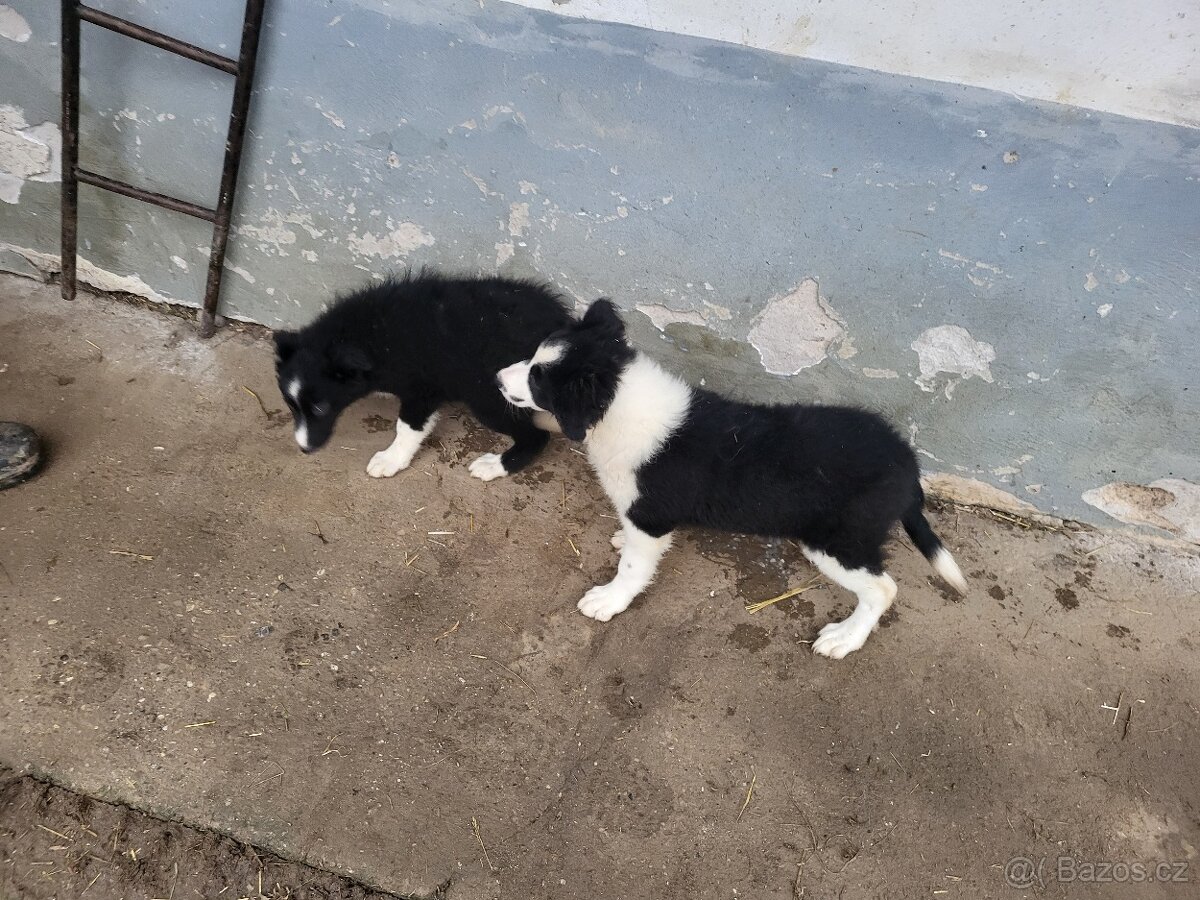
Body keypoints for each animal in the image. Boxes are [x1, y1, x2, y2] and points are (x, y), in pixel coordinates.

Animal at [274, 271, 571, 481]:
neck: (369, 337)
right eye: (291, 406)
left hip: (487, 397)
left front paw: (391, 460)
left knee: (536, 437)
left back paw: (494, 466)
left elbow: (407, 427)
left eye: (320, 408)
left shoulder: (422, 389)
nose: (304, 448)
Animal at [497, 299, 967, 659]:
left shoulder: (649, 516)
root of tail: (907, 463)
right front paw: (618, 540)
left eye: (538, 378)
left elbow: (632, 567)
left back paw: (845, 639)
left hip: (839, 541)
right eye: (533, 359)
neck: (616, 404)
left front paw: (610, 600)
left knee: (882, 589)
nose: (498, 378)